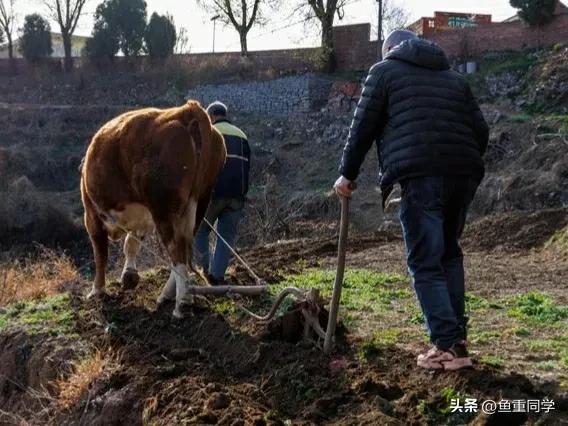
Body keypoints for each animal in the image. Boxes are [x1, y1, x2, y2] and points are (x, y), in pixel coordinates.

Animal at [80, 101, 226, 318]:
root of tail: (187, 110)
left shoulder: (91, 215)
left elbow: (100, 255)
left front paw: (97, 290)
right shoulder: (143, 219)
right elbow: (131, 243)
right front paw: (129, 276)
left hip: (164, 209)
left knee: (176, 249)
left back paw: (182, 303)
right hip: (198, 202)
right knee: (185, 246)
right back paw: (169, 295)